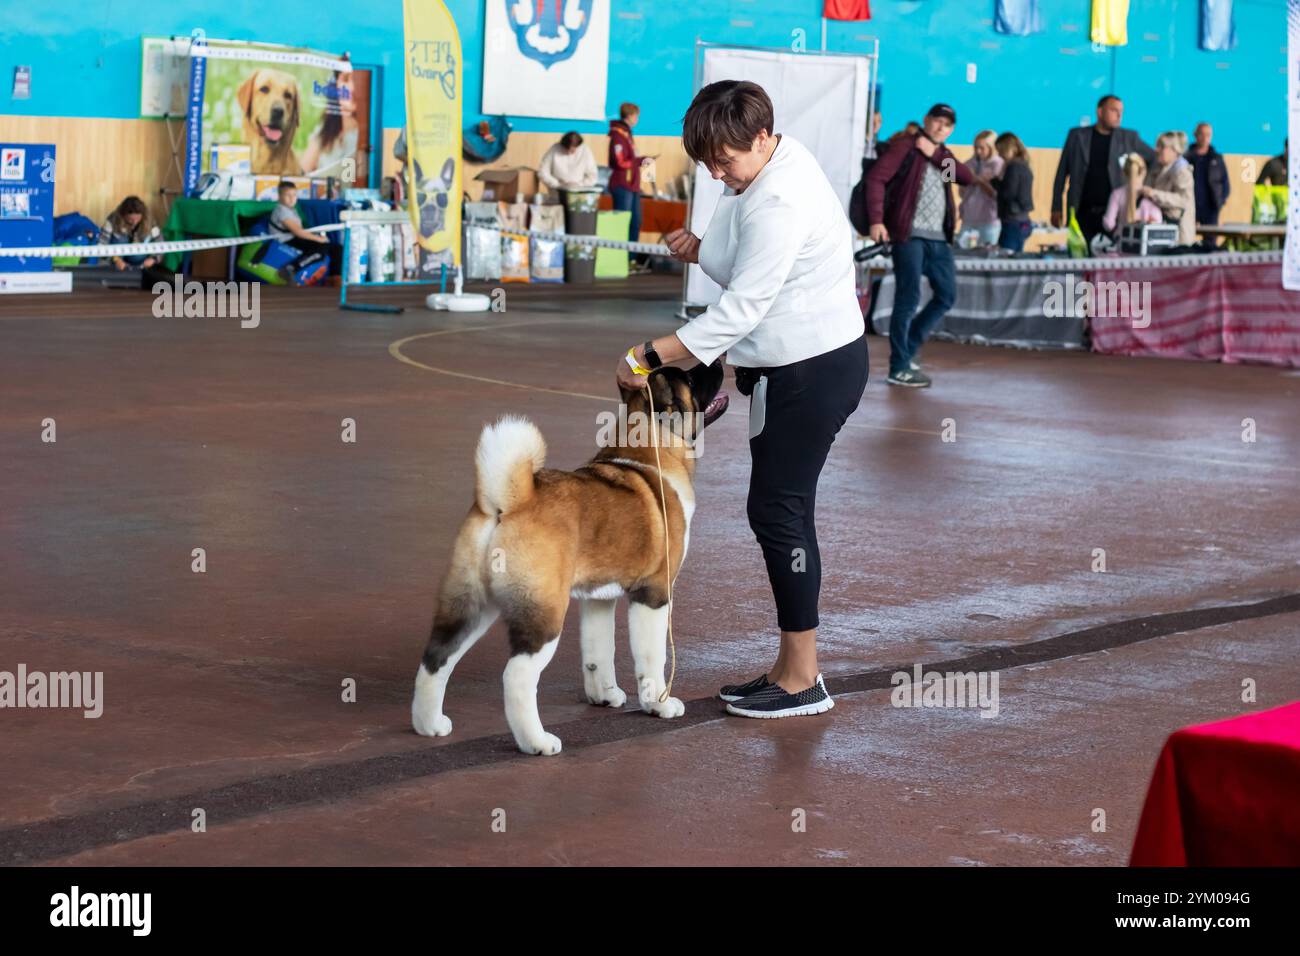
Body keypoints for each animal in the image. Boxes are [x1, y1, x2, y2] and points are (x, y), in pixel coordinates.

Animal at [410, 364, 728, 754]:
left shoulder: (598, 598)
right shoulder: (653, 593)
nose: (718, 364)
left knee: (436, 658)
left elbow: (598, 652)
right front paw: (659, 704)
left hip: (470, 605)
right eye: (692, 379)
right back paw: (537, 742)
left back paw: (429, 725)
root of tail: (508, 503)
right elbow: (652, 657)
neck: (651, 447)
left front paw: (605, 696)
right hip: (543, 613)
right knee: (517, 676)